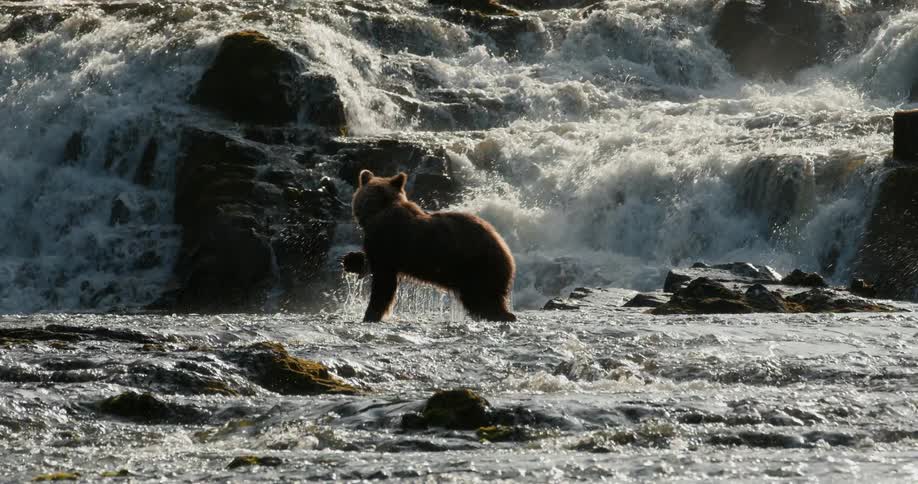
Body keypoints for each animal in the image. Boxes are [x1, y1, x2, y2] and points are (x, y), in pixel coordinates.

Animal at [349, 169, 516, 322]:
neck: (376, 211)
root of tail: (505, 247)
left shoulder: (385, 243)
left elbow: (383, 284)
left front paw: (371, 314)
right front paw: (352, 261)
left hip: (477, 267)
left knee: (482, 298)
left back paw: (502, 315)